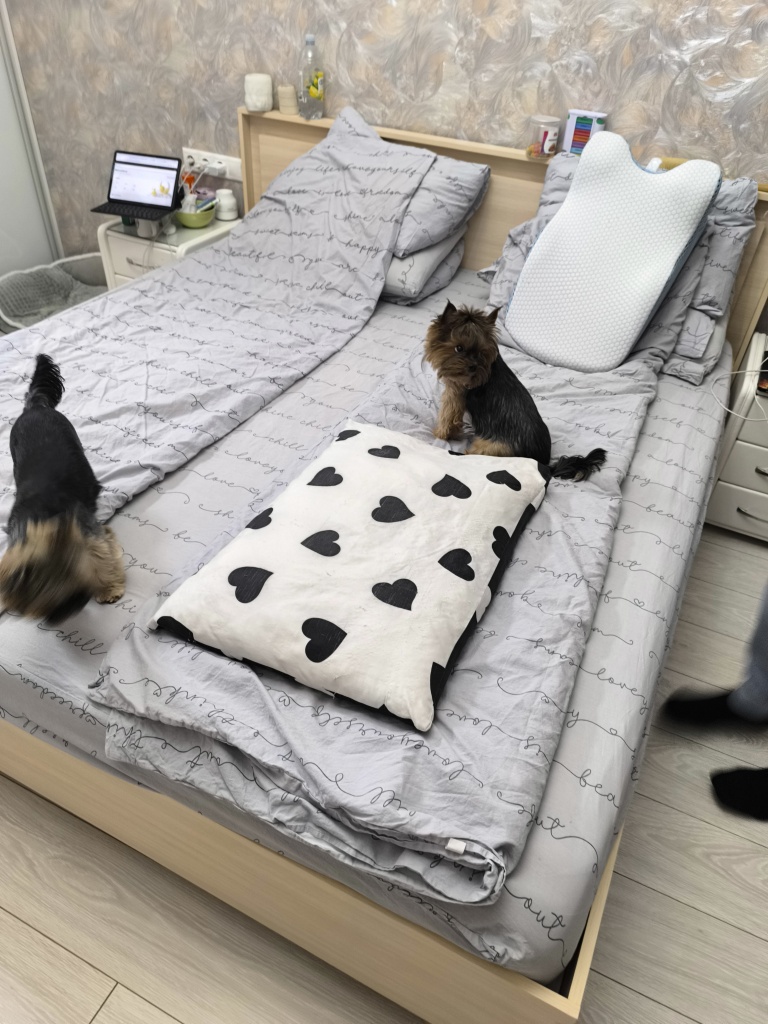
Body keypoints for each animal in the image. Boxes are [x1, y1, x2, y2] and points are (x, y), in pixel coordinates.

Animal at [0, 354, 125, 624]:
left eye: (69, 593)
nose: (61, 617)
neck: (37, 522)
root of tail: (35, 406)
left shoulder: (89, 532)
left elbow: (103, 556)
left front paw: (109, 589)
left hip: (71, 434)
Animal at [424, 301, 606, 480]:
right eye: (459, 348)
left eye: (481, 352)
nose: (473, 367)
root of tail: (542, 464)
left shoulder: (454, 394)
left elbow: (447, 417)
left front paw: (439, 433)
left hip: (486, 447)